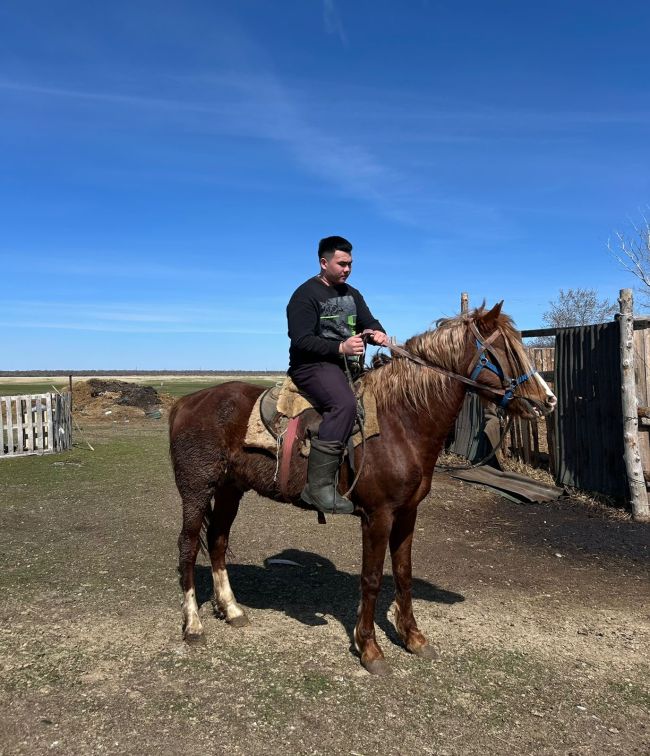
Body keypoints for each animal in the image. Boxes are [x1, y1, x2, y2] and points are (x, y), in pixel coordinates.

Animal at [169, 302, 556, 675]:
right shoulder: (377, 515)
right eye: (504, 349)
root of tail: (185, 403)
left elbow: (403, 573)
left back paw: (231, 609)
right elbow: (371, 579)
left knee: (218, 541)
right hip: (196, 490)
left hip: (230, 489)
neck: (399, 421)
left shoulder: (407, 513)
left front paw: (413, 637)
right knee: (189, 547)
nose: (548, 400)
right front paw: (370, 648)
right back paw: (193, 625)